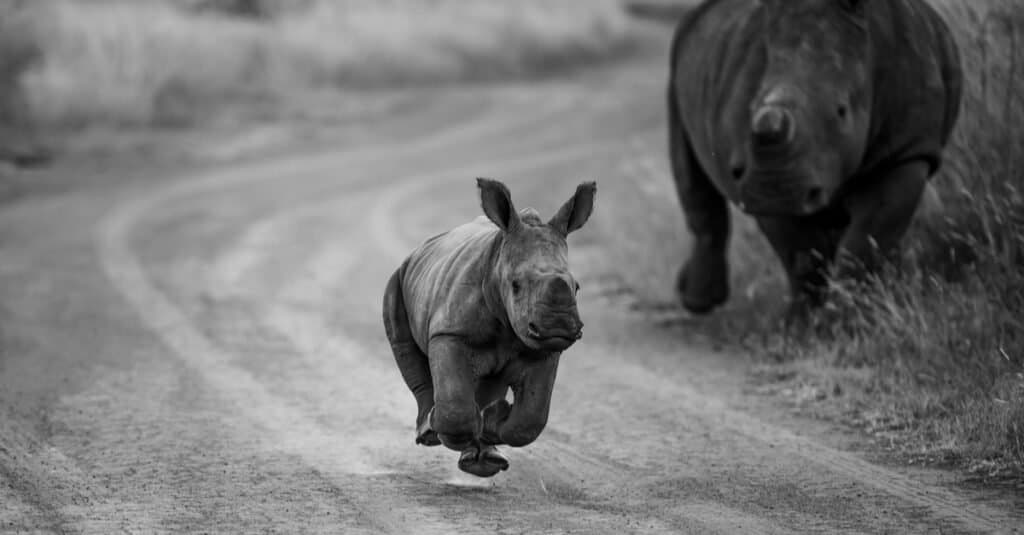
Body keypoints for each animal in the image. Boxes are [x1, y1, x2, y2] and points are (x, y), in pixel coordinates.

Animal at [382, 177, 593, 477]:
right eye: (515, 285)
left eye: (577, 287)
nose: (559, 326)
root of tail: (421, 248)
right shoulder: (450, 332)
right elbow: (455, 407)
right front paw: (450, 425)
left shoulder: (545, 348)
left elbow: (531, 419)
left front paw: (494, 421)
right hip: (399, 278)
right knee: (404, 346)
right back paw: (430, 430)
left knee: (492, 382)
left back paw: (486, 457)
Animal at [667, 0, 962, 315]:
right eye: (751, 109)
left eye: (842, 111)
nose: (776, 189)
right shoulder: (762, 177)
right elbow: (801, 256)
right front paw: (807, 322)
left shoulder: (905, 150)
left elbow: (867, 242)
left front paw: (851, 315)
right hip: (679, 66)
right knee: (690, 172)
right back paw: (698, 302)